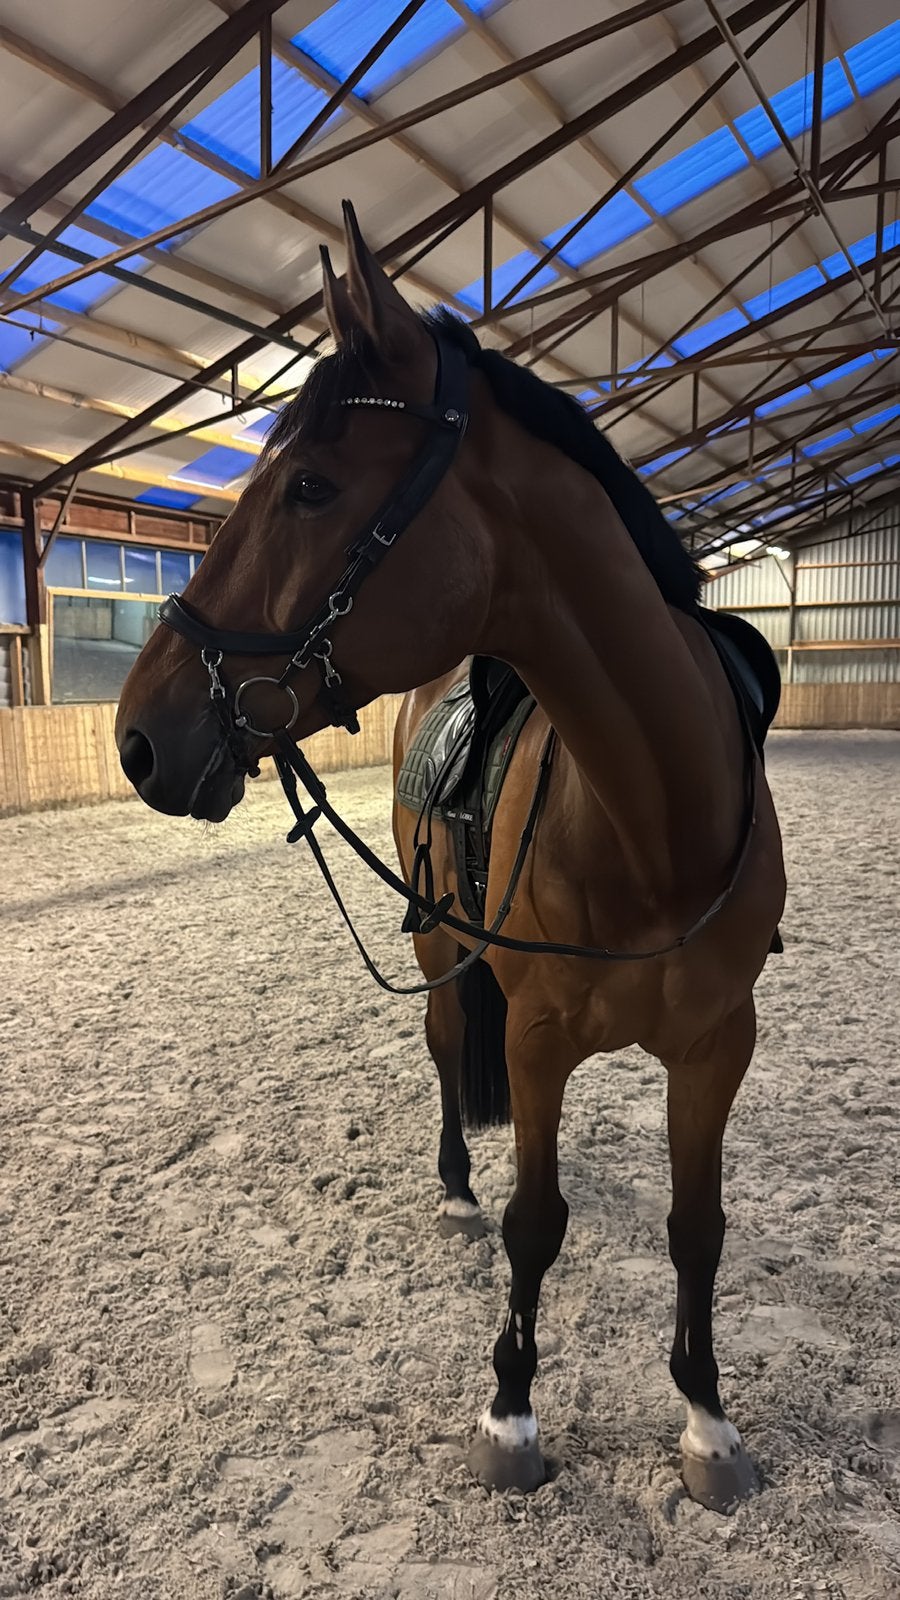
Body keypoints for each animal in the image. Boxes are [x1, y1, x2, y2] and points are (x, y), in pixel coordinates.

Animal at [116, 201, 786, 1513]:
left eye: (312, 486)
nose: (139, 735)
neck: (656, 824)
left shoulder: (717, 1043)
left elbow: (700, 1225)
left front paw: (707, 1421)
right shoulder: (533, 1033)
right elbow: (537, 1218)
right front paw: (511, 1412)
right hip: (437, 941)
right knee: (439, 1051)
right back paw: (455, 1188)